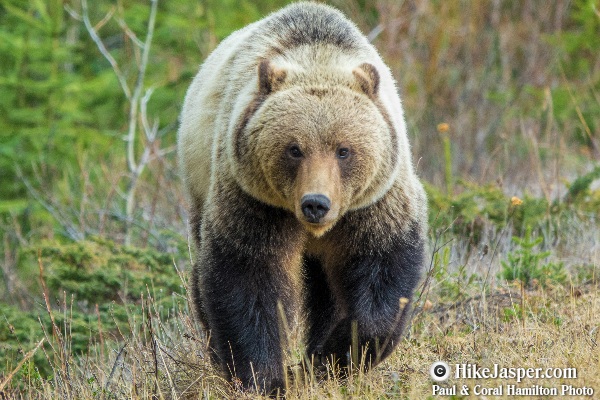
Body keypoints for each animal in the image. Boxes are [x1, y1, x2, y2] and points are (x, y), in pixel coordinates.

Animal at [177, 0, 426, 396]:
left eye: (343, 150)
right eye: (294, 149)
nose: (316, 203)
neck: (317, 57)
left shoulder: (373, 205)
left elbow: (383, 271)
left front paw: (333, 354)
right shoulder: (254, 203)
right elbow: (246, 277)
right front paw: (264, 377)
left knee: (327, 288)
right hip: (200, 178)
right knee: (204, 270)